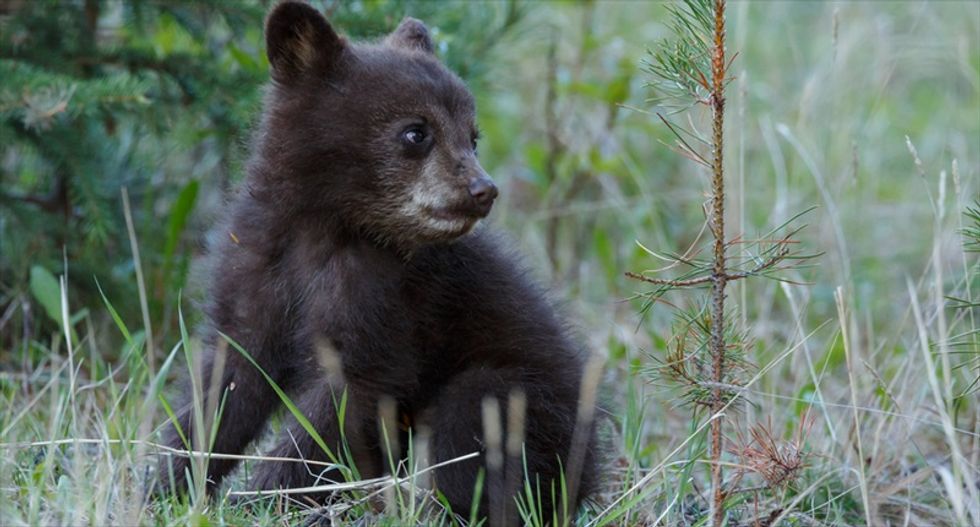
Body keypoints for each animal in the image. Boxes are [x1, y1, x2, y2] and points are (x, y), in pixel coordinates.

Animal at [155, 2, 600, 525]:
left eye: (472, 136)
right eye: (416, 132)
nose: (483, 190)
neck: (323, 229)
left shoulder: (387, 301)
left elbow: (337, 405)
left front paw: (261, 499)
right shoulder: (255, 266)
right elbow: (224, 387)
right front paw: (163, 486)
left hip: (528, 402)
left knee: (473, 423)